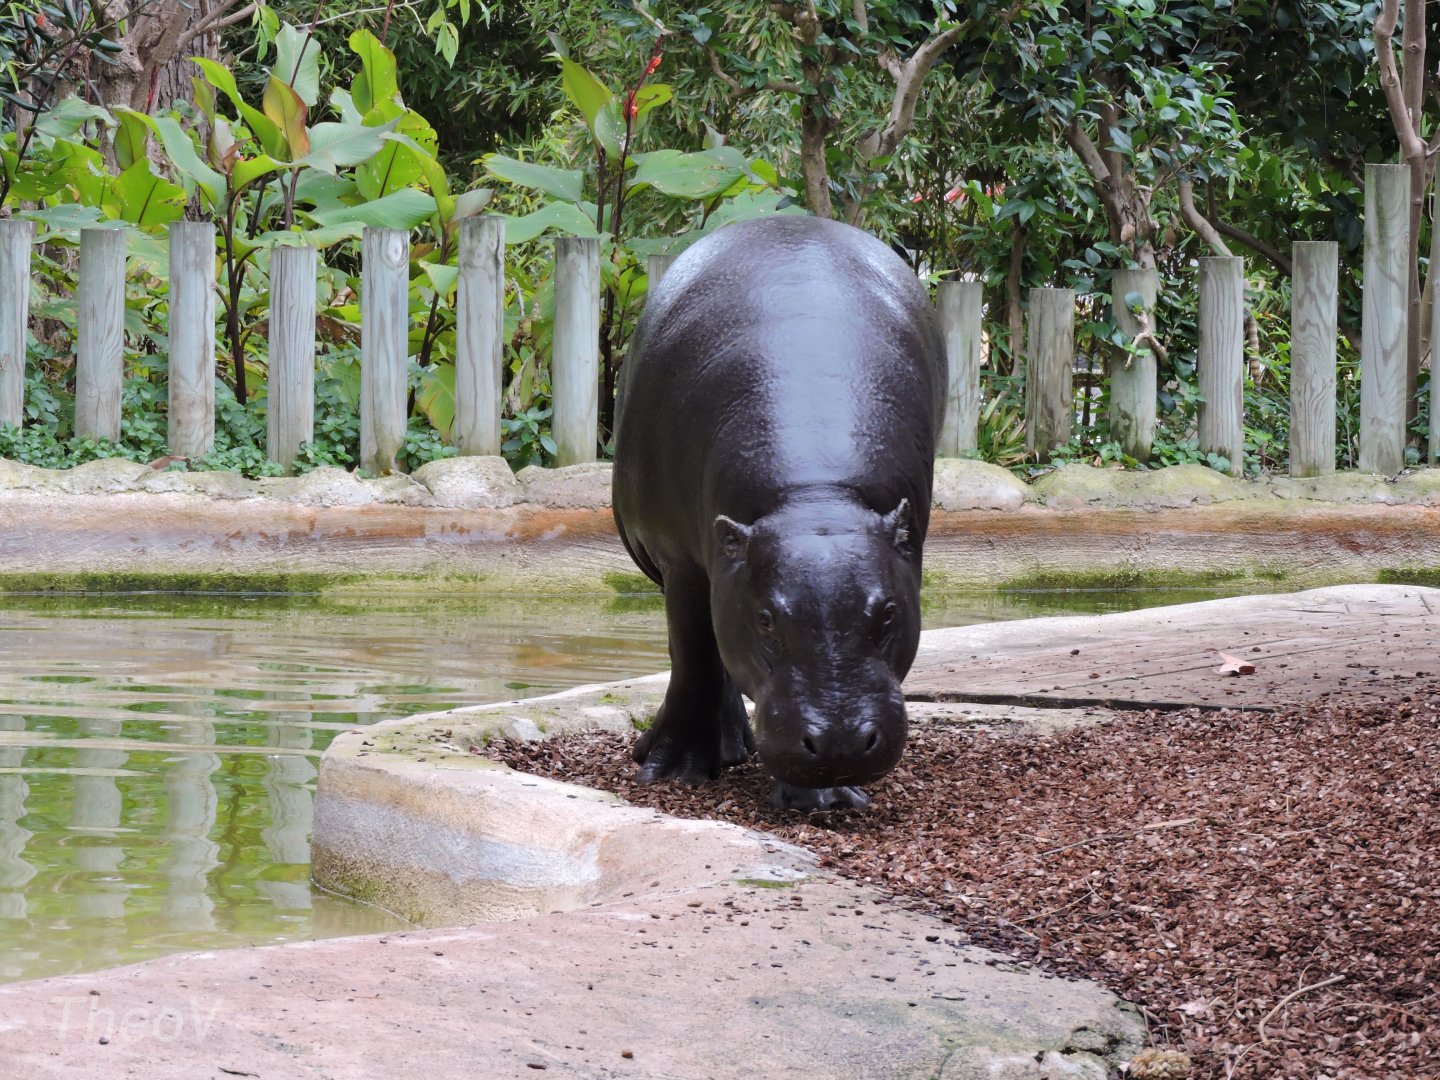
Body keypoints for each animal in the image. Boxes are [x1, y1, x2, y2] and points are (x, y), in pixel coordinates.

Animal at [611, 215, 945, 811]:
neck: (814, 495)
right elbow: (695, 656)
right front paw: (671, 773)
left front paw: (825, 799)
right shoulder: (687, 562)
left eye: (887, 613)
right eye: (767, 618)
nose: (839, 745)